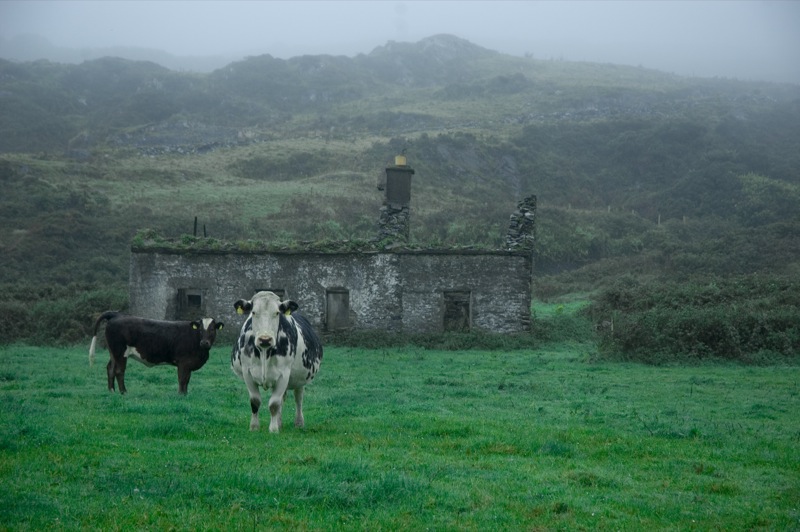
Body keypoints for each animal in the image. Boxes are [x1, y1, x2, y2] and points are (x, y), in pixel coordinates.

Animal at [89, 312, 223, 394]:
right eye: (200, 329)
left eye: (212, 329)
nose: (204, 342)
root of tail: (117, 315)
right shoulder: (183, 363)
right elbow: (183, 379)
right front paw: (181, 395)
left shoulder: (188, 365)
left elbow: (187, 380)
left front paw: (185, 394)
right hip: (120, 353)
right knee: (118, 371)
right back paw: (124, 392)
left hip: (113, 353)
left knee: (110, 369)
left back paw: (112, 391)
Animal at [230, 290, 324, 432]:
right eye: (253, 312)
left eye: (277, 313)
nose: (265, 339)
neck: (264, 351)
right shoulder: (248, 373)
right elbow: (255, 401)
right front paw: (254, 427)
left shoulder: (284, 374)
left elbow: (274, 404)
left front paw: (273, 430)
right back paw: (279, 422)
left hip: (300, 378)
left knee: (298, 398)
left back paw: (299, 422)